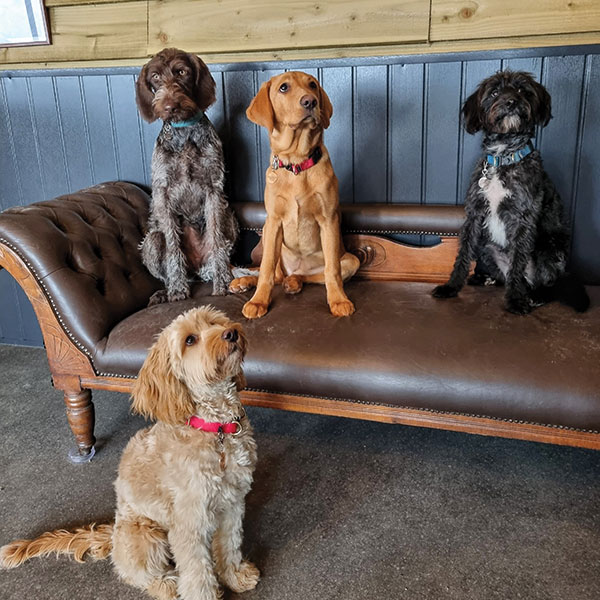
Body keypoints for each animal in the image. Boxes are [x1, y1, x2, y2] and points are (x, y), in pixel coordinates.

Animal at [2, 308, 260, 600]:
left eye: (215, 322)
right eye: (190, 340)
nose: (231, 333)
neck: (216, 427)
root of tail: (113, 533)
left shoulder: (232, 504)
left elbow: (230, 545)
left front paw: (235, 576)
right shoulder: (188, 521)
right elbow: (196, 570)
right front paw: (203, 595)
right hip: (146, 535)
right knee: (136, 573)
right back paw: (167, 585)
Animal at [137, 48, 238, 304]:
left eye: (182, 72)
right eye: (155, 77)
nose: (170, 105)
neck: (184, 133)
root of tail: (197, 270)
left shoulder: (213, 189)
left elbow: (217, 240)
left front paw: (223, 282)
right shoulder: (162, 193)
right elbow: (173, 247)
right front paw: (177, 289)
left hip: (230, 218)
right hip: (152, 240)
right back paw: (166, 290)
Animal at [229, 71, 360, 318]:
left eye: (313, 85)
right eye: (283, 88)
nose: (310, 101)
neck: (297, 164)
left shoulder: (328, 219)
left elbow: (332, 270)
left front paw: (338, 300)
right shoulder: (273, 222)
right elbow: (266, 269)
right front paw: (258, 301)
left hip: (351, 260)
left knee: (310, 275)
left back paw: (294, 282)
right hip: (272, 239)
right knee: (275, 274)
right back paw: (244, 281)